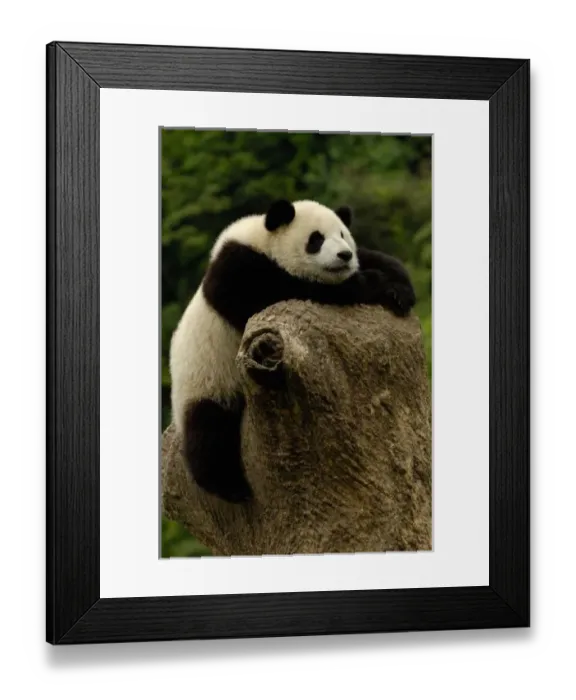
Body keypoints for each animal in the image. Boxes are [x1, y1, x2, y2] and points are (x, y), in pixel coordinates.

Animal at [169, 199, 416, 503]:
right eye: (316, 239)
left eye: (343, 235)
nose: (344, 255)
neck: (263, 240)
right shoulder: (237, 272)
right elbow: (286, 290)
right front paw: (373, 283)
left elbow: (376, 260)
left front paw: (398, 288)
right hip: (206, 383)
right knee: (209, 435)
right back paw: (231, 487)